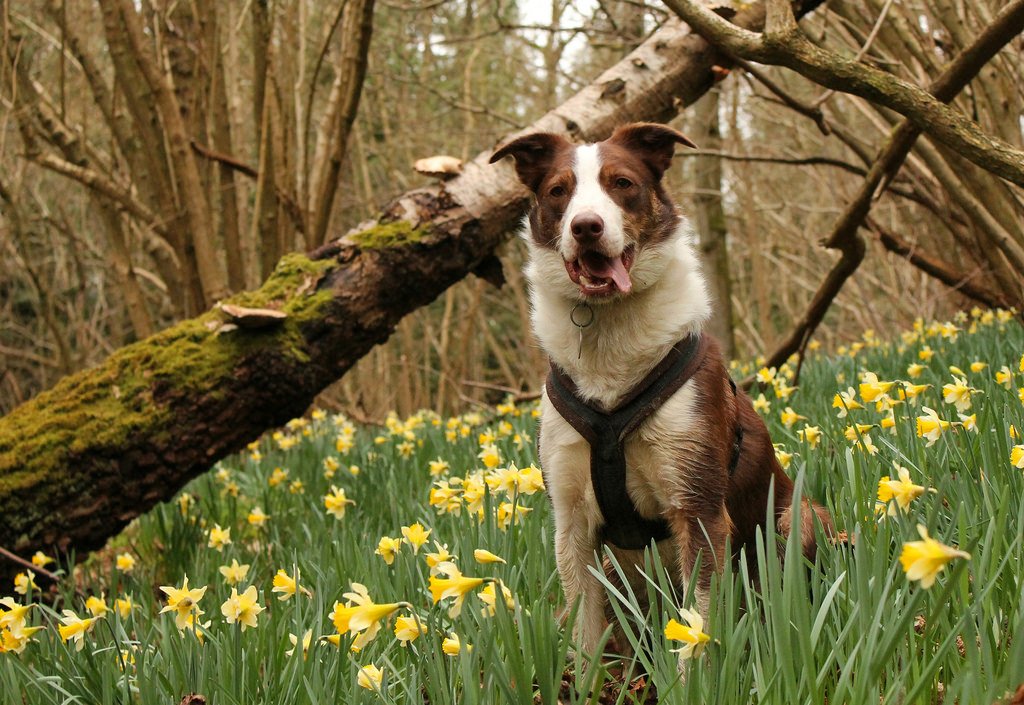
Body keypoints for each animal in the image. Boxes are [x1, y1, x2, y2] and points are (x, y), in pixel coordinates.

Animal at [489, 123, 831, 668]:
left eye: (622, 183)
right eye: (558, 191)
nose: (586, 226)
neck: (609, 339)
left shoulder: (698, 506)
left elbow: (696, 623)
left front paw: (695, 679)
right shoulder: (570, 520)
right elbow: (585, 633)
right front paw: (587, 678)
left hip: (799, 518)